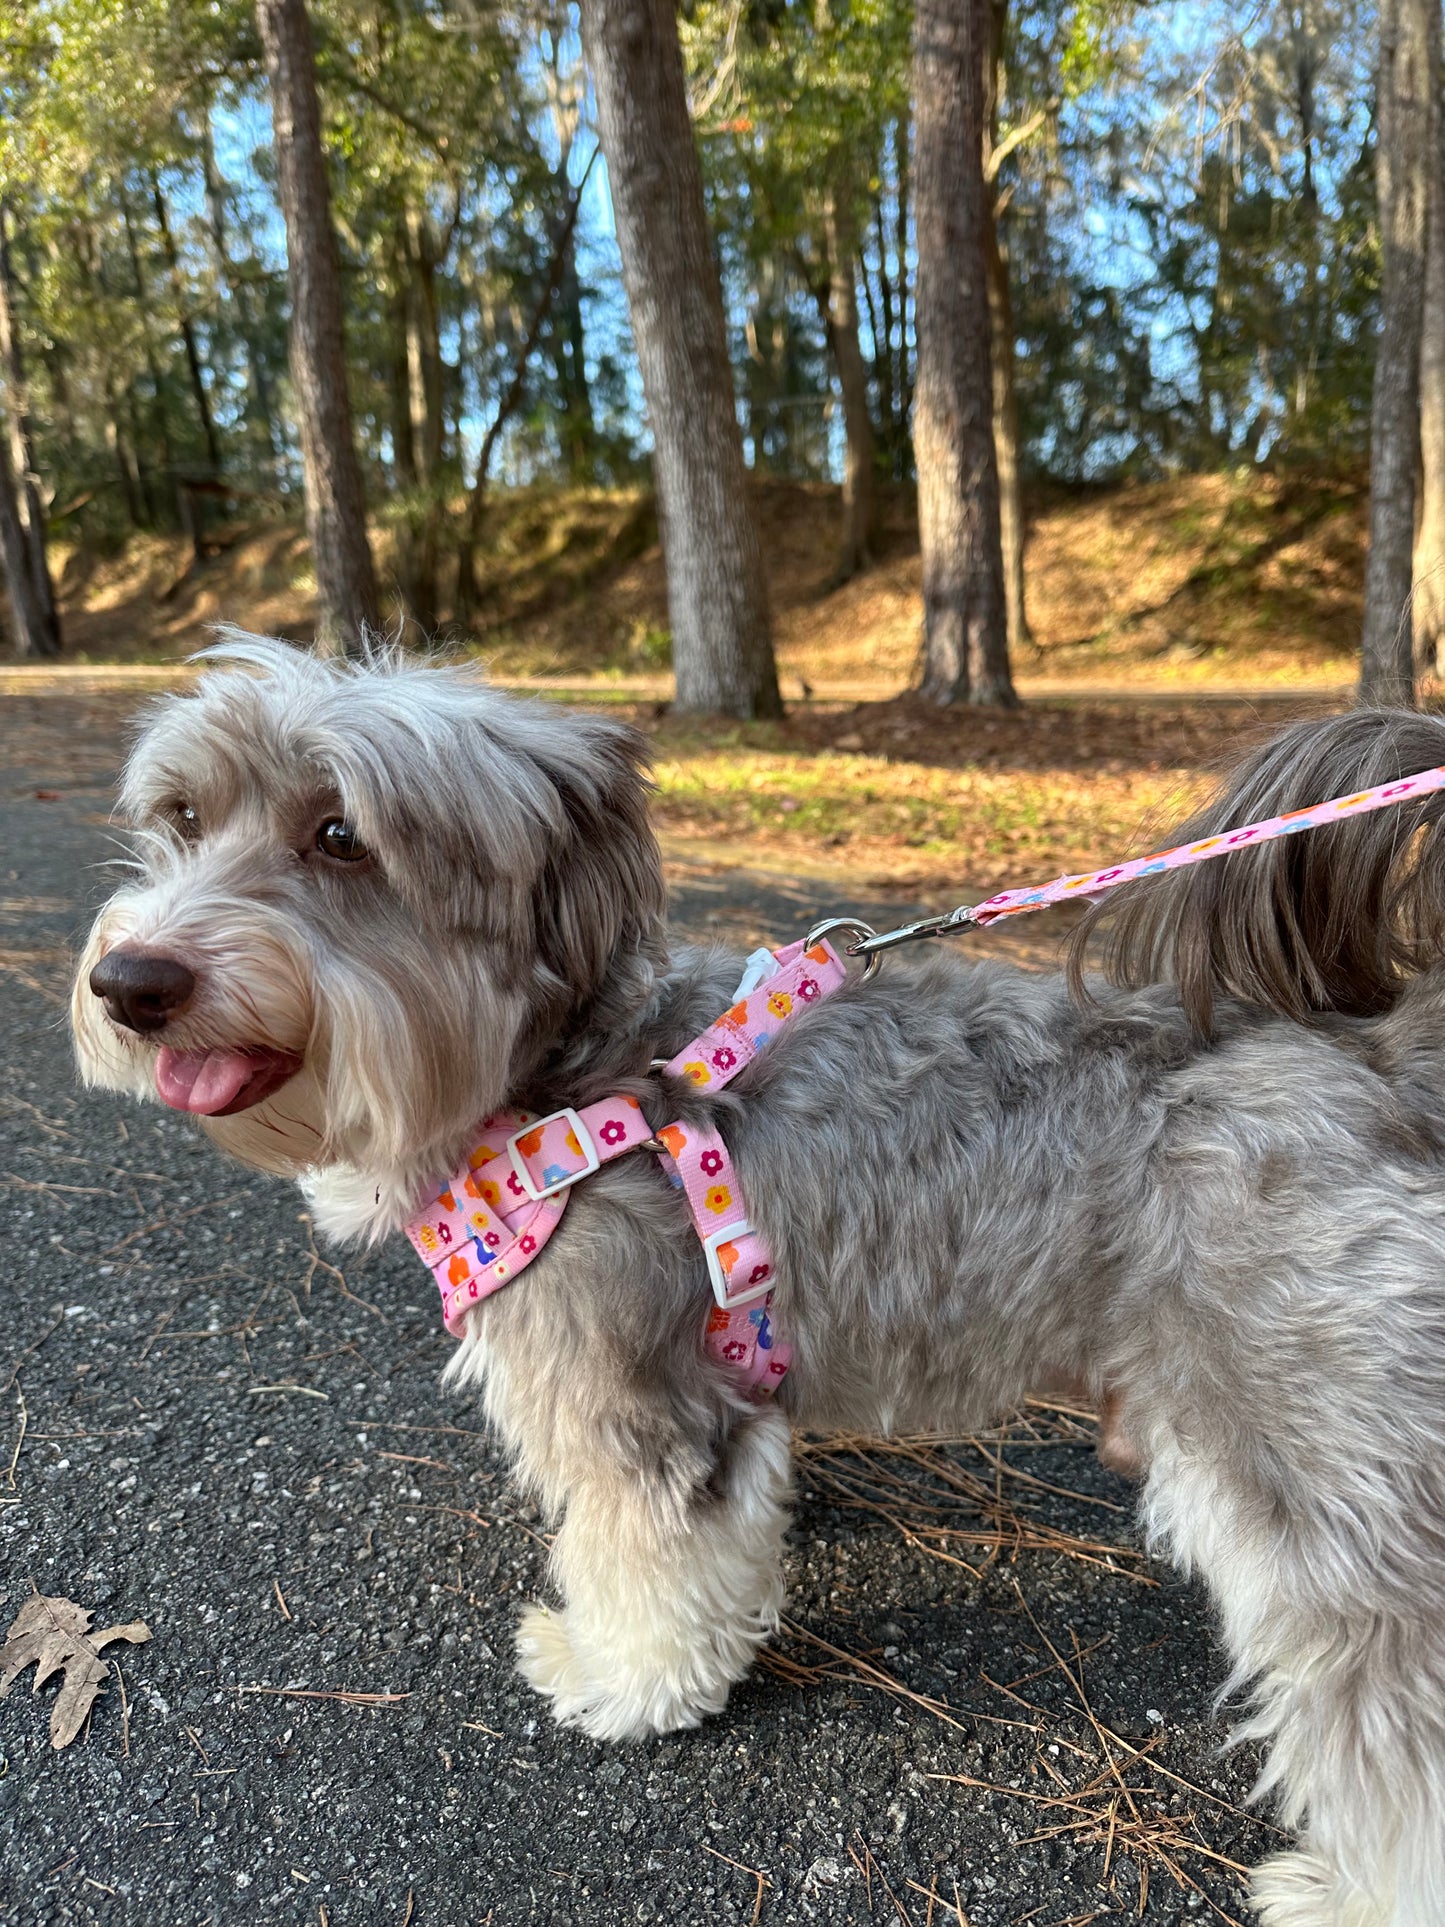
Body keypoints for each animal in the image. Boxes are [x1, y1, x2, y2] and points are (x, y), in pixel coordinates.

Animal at [73, 639, 1445, 1919]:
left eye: (340, 836)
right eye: (182, 815)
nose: (130, 983)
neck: (559, 1085)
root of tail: (1380, 1062)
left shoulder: (634, 1398)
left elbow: (645, 1562)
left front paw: (619, 1680)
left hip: (1309, 1478)